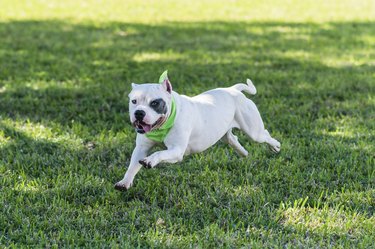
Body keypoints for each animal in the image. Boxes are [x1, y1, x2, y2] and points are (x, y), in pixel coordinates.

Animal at [116, 72, 280, 191]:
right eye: (134, 101)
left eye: (155, 103)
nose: (139, 113)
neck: (163, 125)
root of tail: (233, 90)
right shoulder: (141, 148)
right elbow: (132, 166)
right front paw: (125, 182)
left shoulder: (177, 151)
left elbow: (159, 153)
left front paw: (150, 160)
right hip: (223, 131)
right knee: (233, 139)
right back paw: (243, 153)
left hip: (253, 131)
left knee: (264, 135)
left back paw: (275, 146)